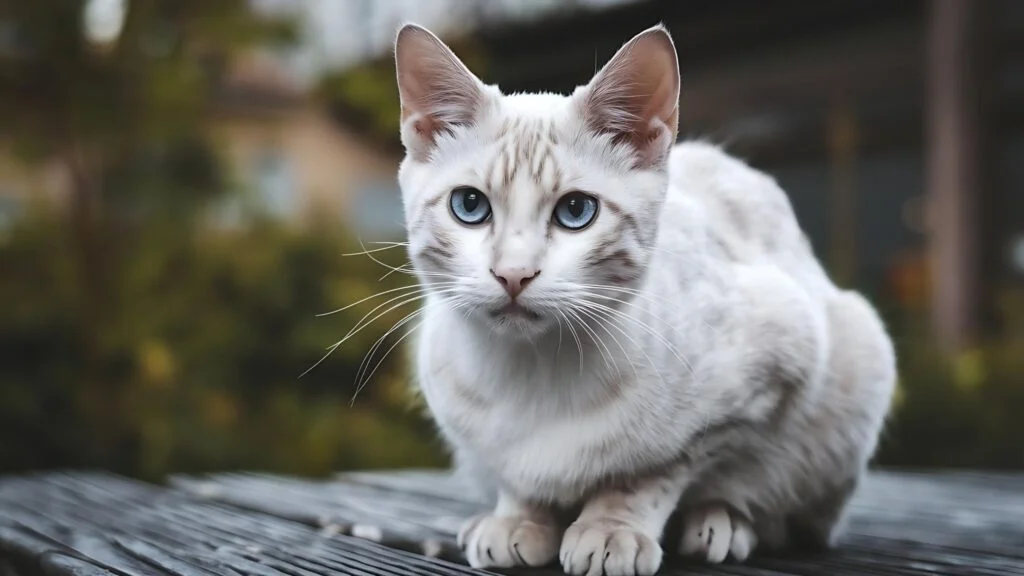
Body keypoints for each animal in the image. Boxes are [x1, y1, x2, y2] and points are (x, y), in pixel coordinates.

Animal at [391, 21, 897, 573]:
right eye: (469, 206)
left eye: (576, 211)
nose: (514, 274)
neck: (534, 373)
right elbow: (516, 475)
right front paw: (520, 519)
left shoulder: (759, 383)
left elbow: (653, 473)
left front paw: (611, 529)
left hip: (854, 367)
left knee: (773, 507)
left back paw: (720, 525)